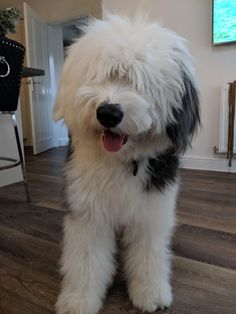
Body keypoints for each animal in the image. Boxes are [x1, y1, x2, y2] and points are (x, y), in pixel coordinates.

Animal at [53, 12, 199, 314]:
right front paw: (78, 300)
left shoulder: (151, 213)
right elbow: (86, 260)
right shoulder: (88, 212)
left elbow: (148, 255)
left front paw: (151, 293)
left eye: (139, 82)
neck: (120, 161)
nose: (108, 113)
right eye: (98, 75)